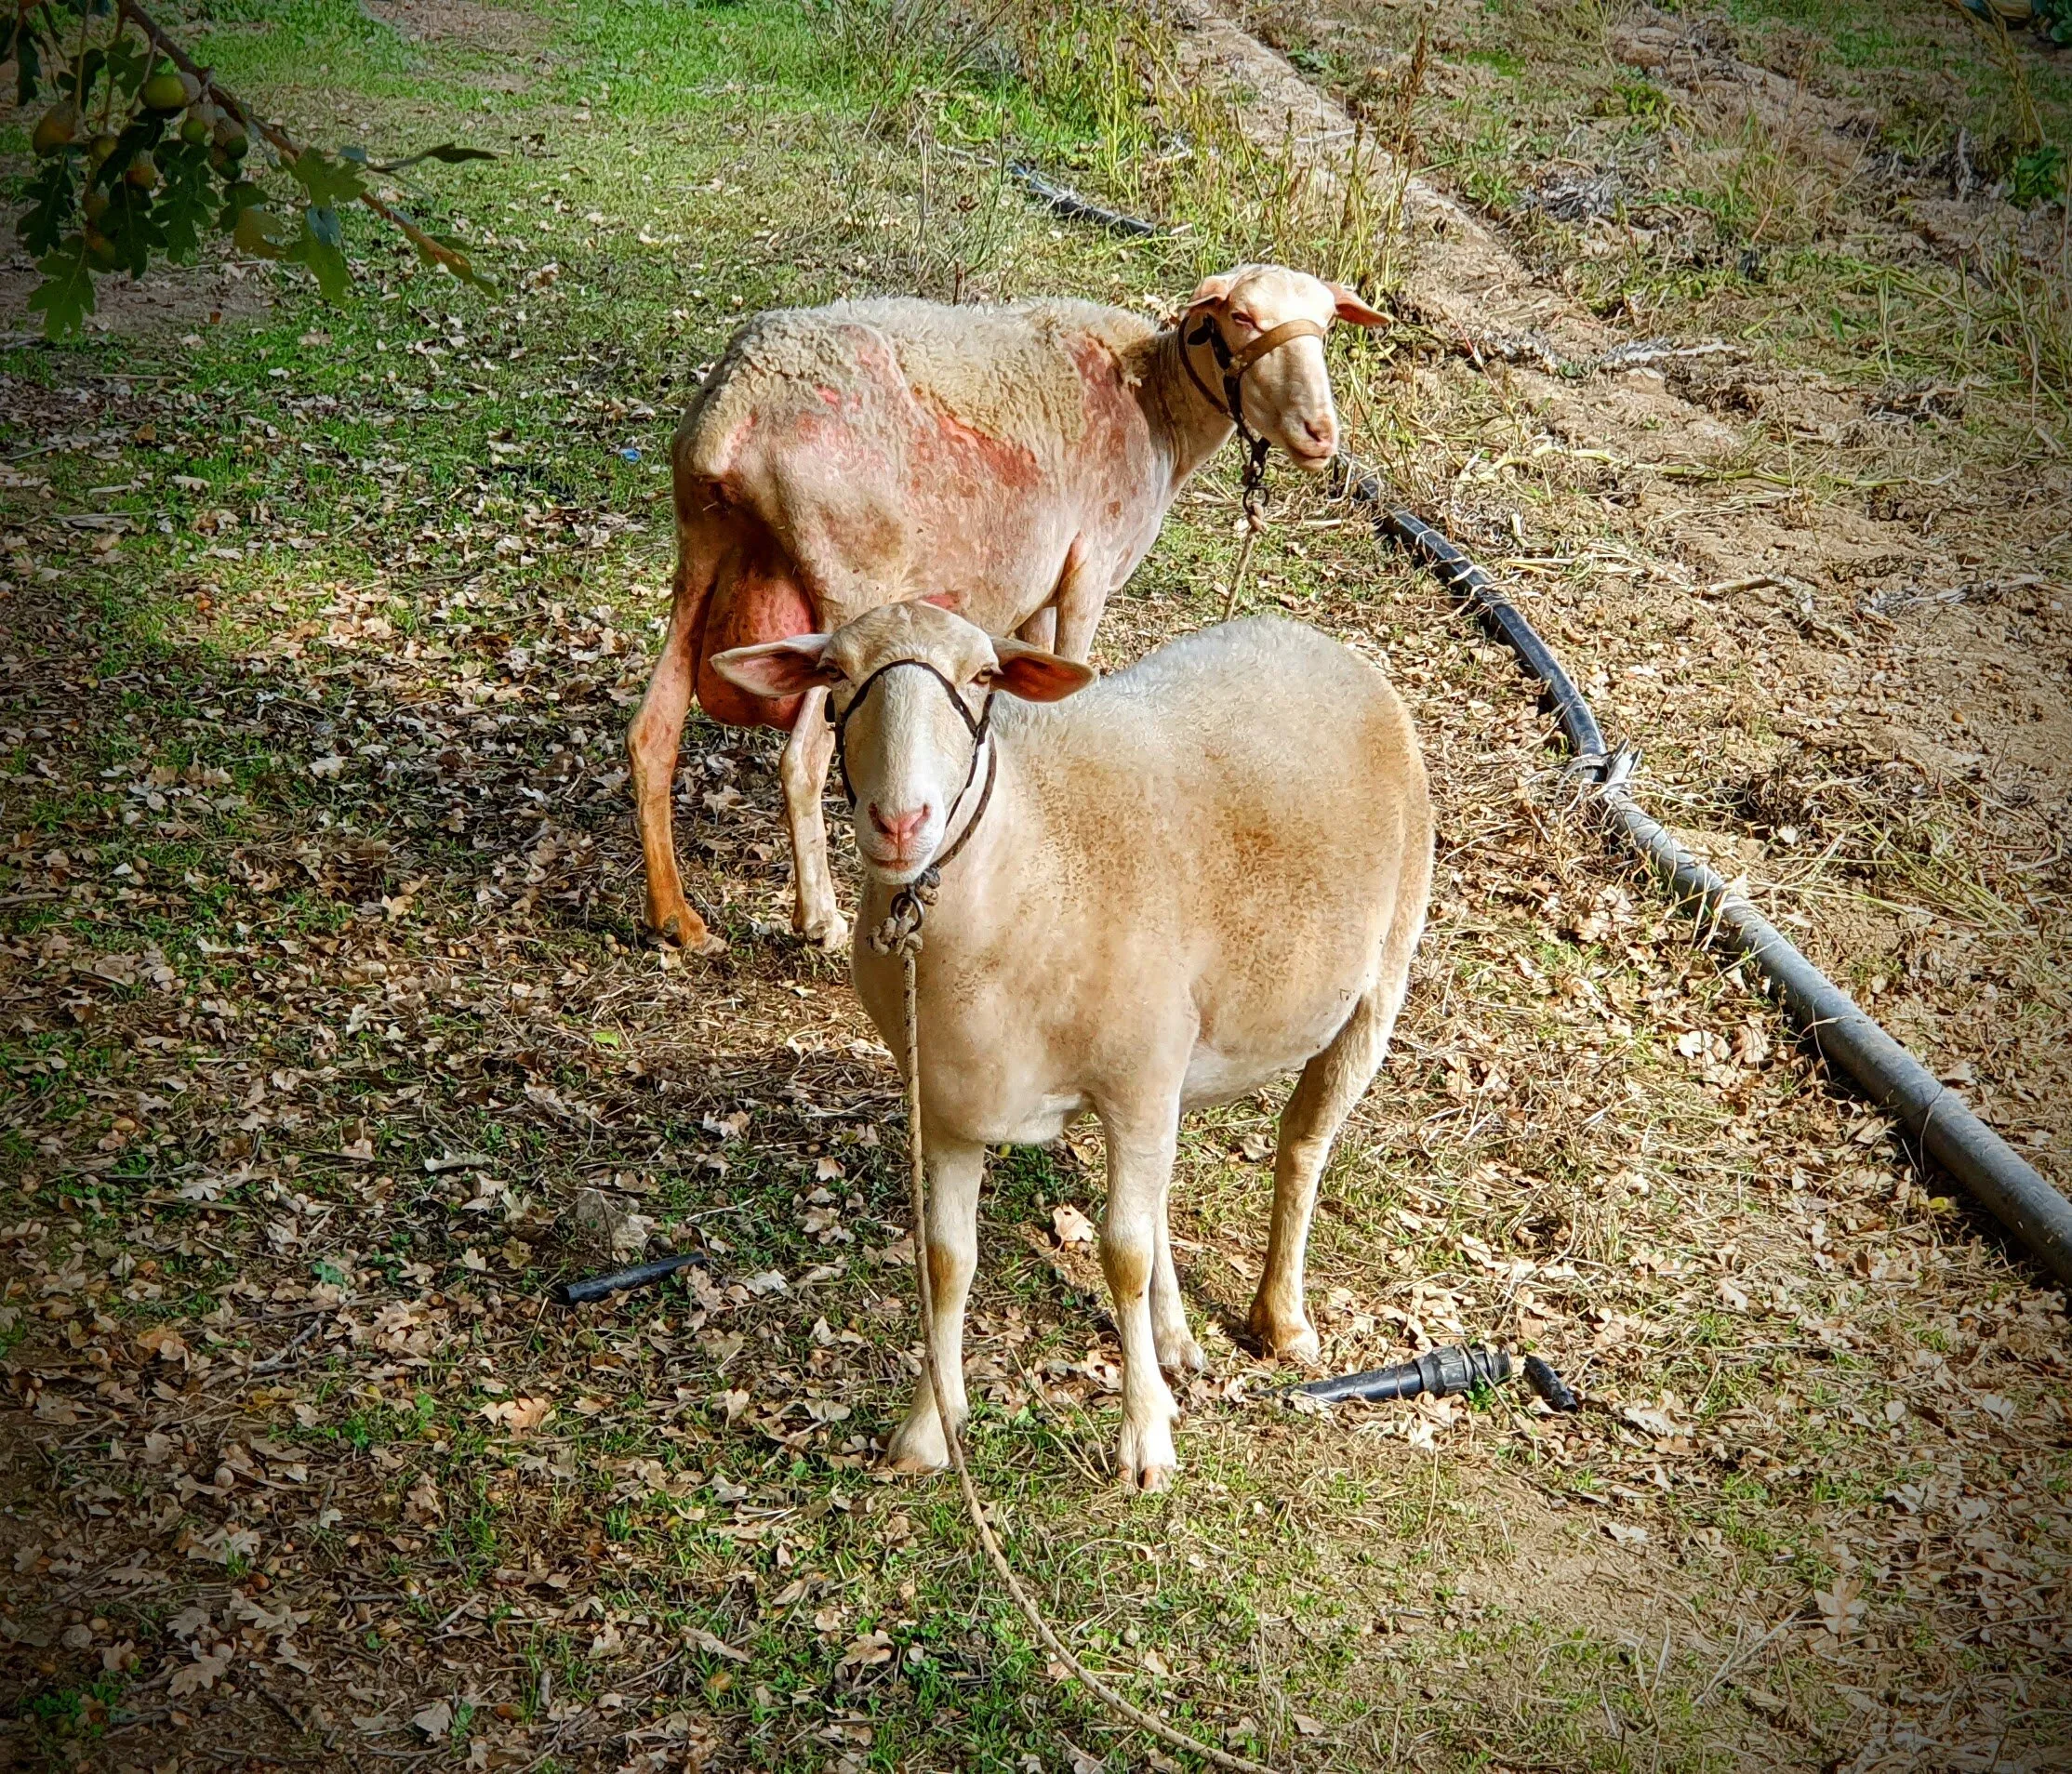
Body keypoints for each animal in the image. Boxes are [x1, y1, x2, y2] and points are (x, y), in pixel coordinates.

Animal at [627, 265, 1389, 955]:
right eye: (1242, 318)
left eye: (1327, 326)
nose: (1320, 434)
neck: (1158, 405)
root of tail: (736, 409)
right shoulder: (1089, 567)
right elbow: (1076, 674)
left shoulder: (1037, 592)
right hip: (848, 586)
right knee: (801, 762)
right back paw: (820, 919)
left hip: (703, 547)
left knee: (652, 730)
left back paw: (676, 919)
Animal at [711, 600, 1432, 1491]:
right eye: (835, 675)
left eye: (984, 676)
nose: (901, 822)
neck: (1025, 860)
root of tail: (1311, 637)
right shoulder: (952, 1104)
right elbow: (948, 1261)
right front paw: (929, 1429)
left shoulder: (1133, 1081)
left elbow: (1120, 1256)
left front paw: (1145, 1442)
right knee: (1166, 1190)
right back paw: (1173, 1339)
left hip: (1379, 977)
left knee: (1301, 1147)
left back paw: (1281, 1320)